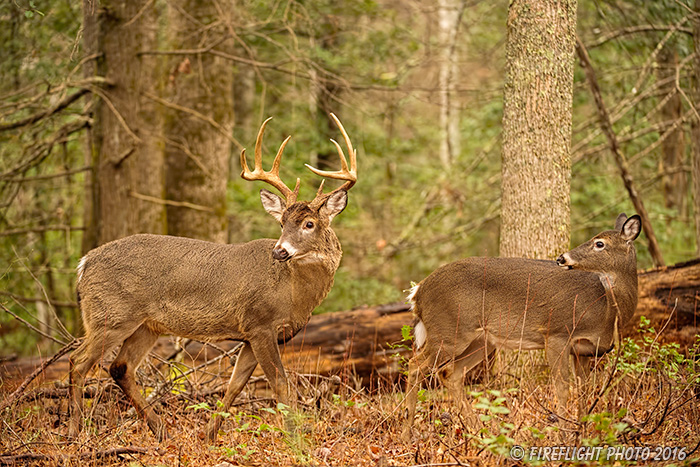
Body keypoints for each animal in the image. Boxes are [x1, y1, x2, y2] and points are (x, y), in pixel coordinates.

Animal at [70, 113, 358, 442]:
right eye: (282, 223)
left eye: (309, 223)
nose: (279, 251)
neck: (294, 291)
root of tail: (84, 263)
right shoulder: (260, 323)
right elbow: (280, 383)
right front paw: (295, 438)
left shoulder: (250, 335)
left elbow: (234, 386)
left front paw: (208, 436)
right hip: (111, 314)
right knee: (78, 362)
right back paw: (74, 430)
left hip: (145, 325)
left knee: (120, 367)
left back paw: (161, 430)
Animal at [402, 214, 644, 440]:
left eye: (600, 243)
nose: (561, 258)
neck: (608, 310)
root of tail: (418, 291)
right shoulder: (557, 333)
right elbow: (562, 387)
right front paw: (564, 434)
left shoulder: (584, 350)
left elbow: (583, 390)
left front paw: (582, 433)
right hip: (449, 331)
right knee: (415, 365)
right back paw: (407, 431)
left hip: (481, 341)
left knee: (450, 373)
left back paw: (482, 431)